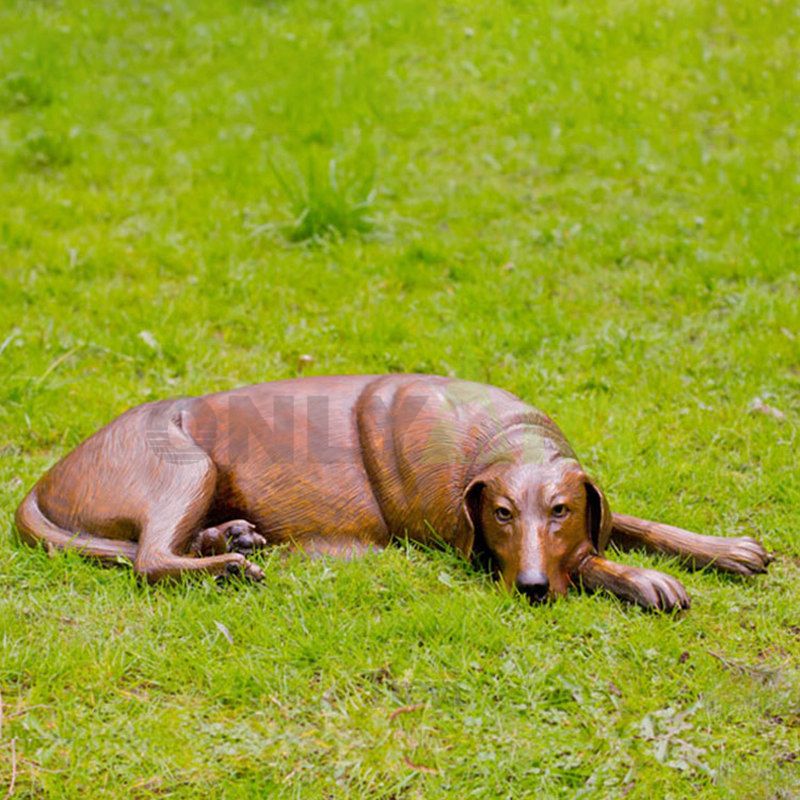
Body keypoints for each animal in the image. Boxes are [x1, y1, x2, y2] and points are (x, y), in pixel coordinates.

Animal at [14, 374, 776, 608]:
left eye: (559, 509)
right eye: (501, 514)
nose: (532, 590)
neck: (501, 441)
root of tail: (42, 481)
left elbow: (630, 522)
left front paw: (725, 548)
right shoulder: (472, 543)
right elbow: (590, 558)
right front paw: (643, 580)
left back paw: (230, 536)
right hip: (184, 462)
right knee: (147, 558)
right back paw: (228, 562)